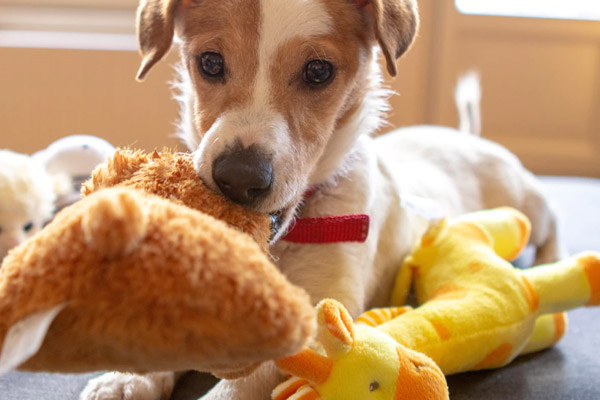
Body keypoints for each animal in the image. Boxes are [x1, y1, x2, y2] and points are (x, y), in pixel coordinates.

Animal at [78, 0, 564, 400]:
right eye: (210, 63)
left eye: (318, 72)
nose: (238, 179)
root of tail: (464, 136)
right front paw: (128, 378)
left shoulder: (326, 314)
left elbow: (245, 382)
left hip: (528, 204)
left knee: (552, 225)